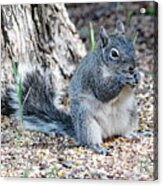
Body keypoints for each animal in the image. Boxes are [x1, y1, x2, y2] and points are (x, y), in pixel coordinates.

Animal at [6, 20, 140, 155]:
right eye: (114, 54)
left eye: (132, 46)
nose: (132, 67)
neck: (111, 69)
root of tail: (108, 132)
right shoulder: (92, 76)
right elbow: (102, 92)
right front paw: (122, 79)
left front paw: (138, 75)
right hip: (86, 120)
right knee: (89, 141)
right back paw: (97, 147)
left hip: (131, 114)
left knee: (122, 132)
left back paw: (132, 133)